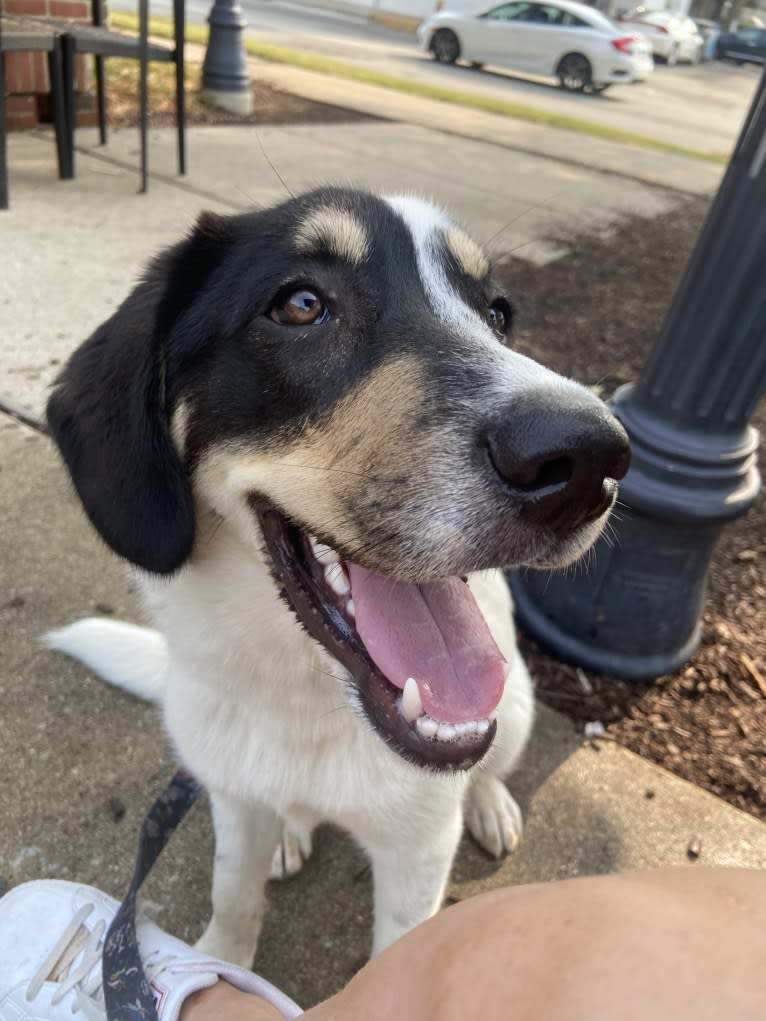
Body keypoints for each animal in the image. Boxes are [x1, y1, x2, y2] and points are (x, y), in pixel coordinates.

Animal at [48, 189, 633, 963]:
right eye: (300, 304)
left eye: (498, 315)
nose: (592, 459)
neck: (306, 697)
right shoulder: (235, 798)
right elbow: (233, 897)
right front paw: (218, 961)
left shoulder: (419, 847)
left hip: (517, 710)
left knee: (490, 761)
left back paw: (488, 800)